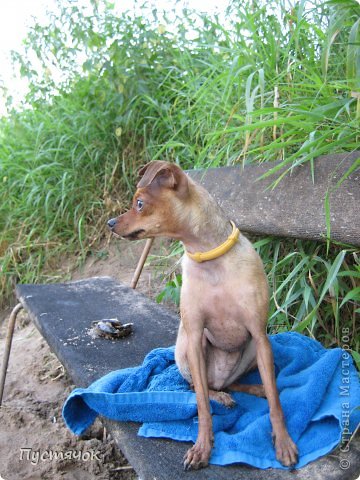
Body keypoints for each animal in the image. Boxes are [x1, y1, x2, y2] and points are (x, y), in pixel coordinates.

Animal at [107, 160, 298, 468]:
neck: (209, 259)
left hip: (252, 352)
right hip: (184, 350)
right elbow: (201, 404)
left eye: (139, 203)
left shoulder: (259, 335)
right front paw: (202, 447)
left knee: (238, 383)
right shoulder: (195, 335)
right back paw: (220, 396)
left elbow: (275, 402)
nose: (110, 223)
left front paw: (283, 442)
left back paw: (252, 389)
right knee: (201, 387)